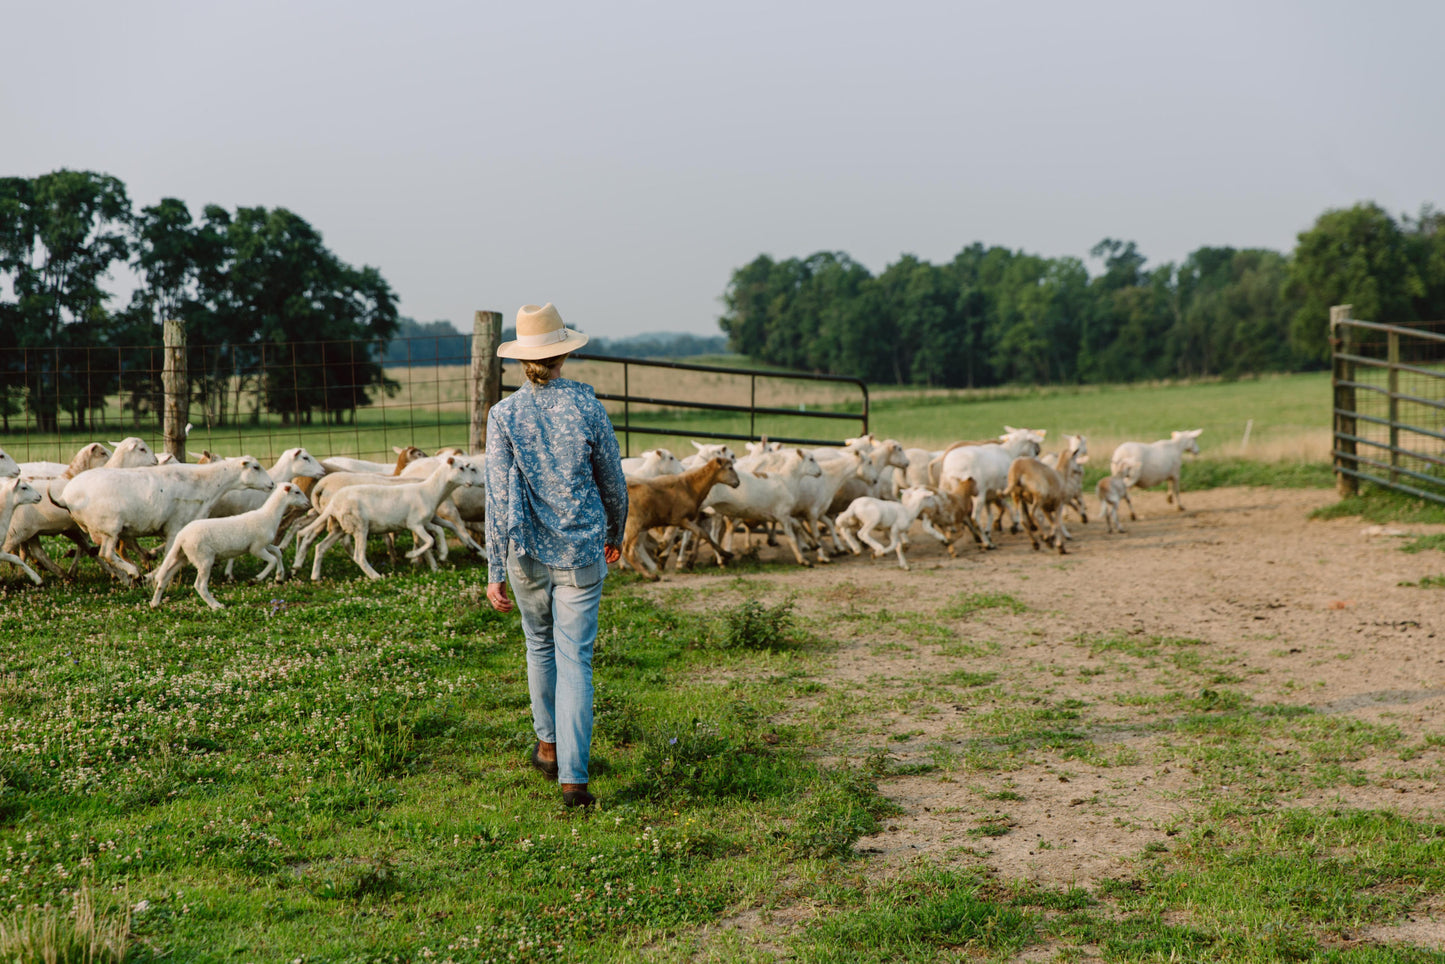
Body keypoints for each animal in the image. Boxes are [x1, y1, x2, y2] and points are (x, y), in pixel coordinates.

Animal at [148, 482, 312, 609]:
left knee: (165, 576)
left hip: (183, 556)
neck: (268, 516)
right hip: (203, 558)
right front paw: (256, 579)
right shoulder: (256, 547)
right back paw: (216, 605)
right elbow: (271, 560)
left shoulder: (264, 544)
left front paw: (279, 576)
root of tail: (181, 535)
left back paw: (155, 603)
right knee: (200, 585)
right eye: (297, 492)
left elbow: (278, 552)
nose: (308, 504)